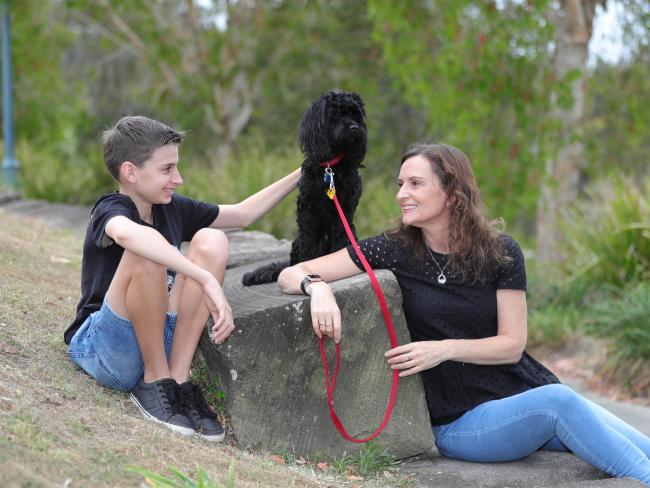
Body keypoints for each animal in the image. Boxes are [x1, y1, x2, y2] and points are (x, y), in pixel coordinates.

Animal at [242, 89, 368, 284]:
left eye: (356, 115)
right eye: (335, 115)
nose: (354, 128)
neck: (331, 167)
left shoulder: (345, 210)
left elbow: (340, 238)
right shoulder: (307, 209)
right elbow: (309, 244)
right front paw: (309, 264)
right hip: (297, 242)